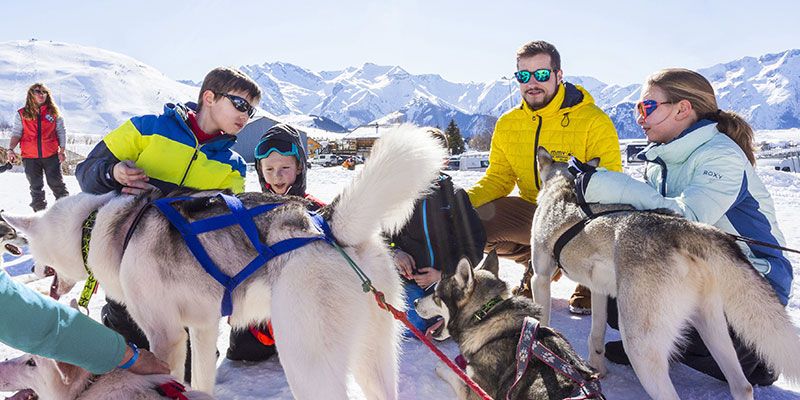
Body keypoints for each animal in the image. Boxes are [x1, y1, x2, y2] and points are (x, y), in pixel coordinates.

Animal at [3, 126, 446, 398]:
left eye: (33, 251)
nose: (30, 269)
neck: (97, 227)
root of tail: (327, 223)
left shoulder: (166, 334)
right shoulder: (200, 327)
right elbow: (200, 376)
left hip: (305, 355)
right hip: (374, 353)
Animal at [416, 252, 596, 398]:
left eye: (436, 296)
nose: (415, 302)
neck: (484, 315)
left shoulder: (478, 391)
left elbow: (460, 378)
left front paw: (443, 367)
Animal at [532, 148, 800, 400]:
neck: (563, 187)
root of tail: (683, 228)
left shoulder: (540, 279)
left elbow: (542, 325)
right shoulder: (599, 291)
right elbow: (595, 336)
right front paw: (597, 368)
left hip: (640, 346)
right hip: (711, 327)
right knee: (742, 386)